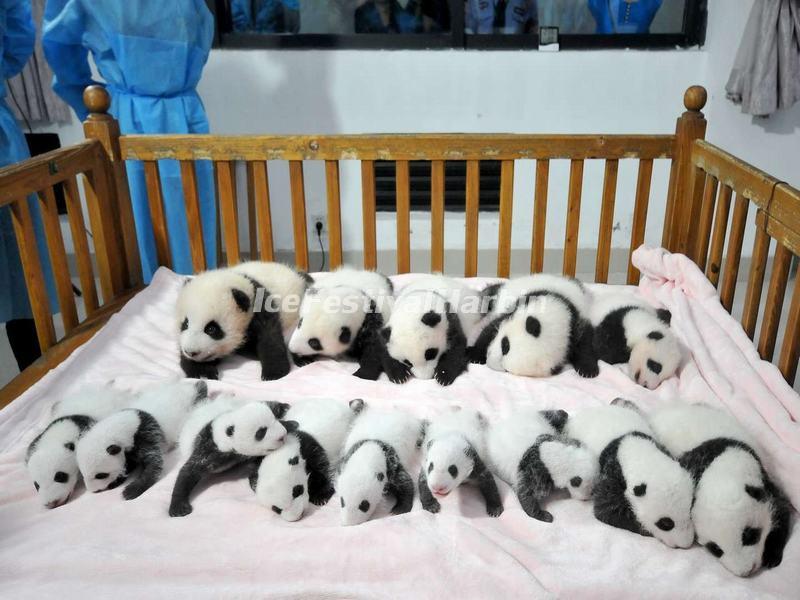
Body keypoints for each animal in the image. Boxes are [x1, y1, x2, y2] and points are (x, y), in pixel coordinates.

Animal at [76, 380, 207, 500]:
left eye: (101, 475)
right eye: (82, 474)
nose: (93, 490)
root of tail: (188, 389)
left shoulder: (146, 434)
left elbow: (154, 463)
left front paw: (130, 491)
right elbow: (129, 463)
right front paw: (119, 479)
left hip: (192, 402)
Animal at [177, 261, 311, 381]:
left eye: (211, 329)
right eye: (185, 324)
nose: (191, 352)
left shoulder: (261, 305)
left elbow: (269, 337)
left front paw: (273, 374)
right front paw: (201, 372)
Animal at [469, 274, 599, 378]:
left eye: (507, 370)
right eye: (505, 345)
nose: (489, 359)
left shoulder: (574, 324)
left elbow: (584, 341)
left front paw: (588, 370)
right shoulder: (518, 305)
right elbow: (490, 329)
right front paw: (475, 354)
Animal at [566, 403, 695, 548]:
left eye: (690, 511)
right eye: (666, 523)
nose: (686, 544)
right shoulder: (612, 474)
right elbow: (606, 510)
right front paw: (644, 529)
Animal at [649, 403, 791, 577]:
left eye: (750, 535)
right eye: (716, 549)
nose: (746, 571)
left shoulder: (764, 482)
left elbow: (781, 509)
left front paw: (771, 555)